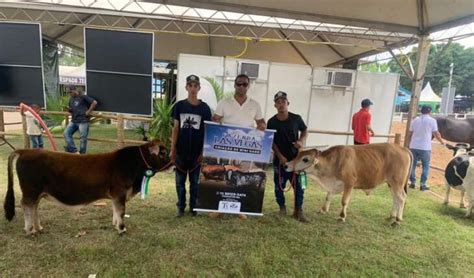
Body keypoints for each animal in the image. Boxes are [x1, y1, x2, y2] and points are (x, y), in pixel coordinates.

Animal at [3, 140, 170, 233]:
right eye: (162, 152)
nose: (173, 163)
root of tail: (25, 151)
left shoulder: (115, 195)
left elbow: (115, 211)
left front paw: (115, 225)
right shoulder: (120, 192)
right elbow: (121, 211)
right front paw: (122, 229)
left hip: (37, 193)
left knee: (34, 207)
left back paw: (38, 227)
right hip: (30, 191)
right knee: (27, 206)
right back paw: (30, 230)